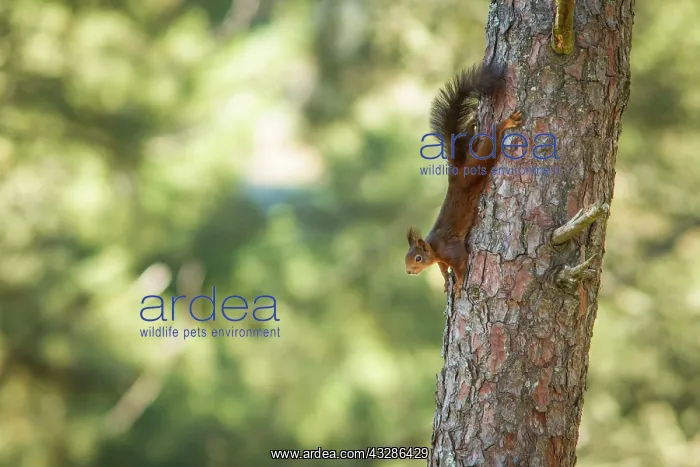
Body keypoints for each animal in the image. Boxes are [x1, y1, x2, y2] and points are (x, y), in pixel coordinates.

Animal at [405, 63, 523, 298]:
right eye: (407, 258)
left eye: (418, 258)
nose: (409, 272)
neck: (434, 249)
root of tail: (455, 173)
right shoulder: (441, 260)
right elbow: (443, 270)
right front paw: (445, 282)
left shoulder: (451, 251)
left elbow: (460, 264)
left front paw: (458, 285)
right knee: (468, 137)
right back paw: (471, 123)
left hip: (472, 172)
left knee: (489, 146)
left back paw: (503, 124)